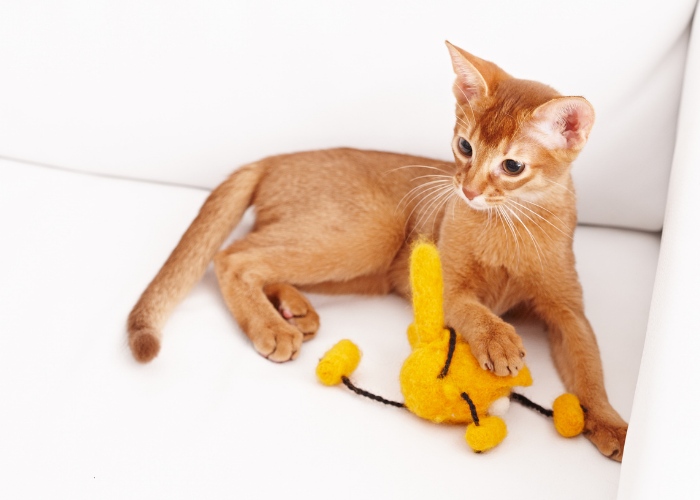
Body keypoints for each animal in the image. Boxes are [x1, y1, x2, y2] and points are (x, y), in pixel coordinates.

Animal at [129, 42, 628, 460]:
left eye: (512, 166)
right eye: (464, 146)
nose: (466, 190)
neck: (510, 230)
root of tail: (272, 159)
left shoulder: (569, 312)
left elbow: (591, 374)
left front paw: (613, 427)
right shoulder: (443, 287)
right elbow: (474, 309)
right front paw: (498, 339)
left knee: (257, 253)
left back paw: (294, 309)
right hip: (371, 232)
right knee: (233, 256)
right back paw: (271, 327)